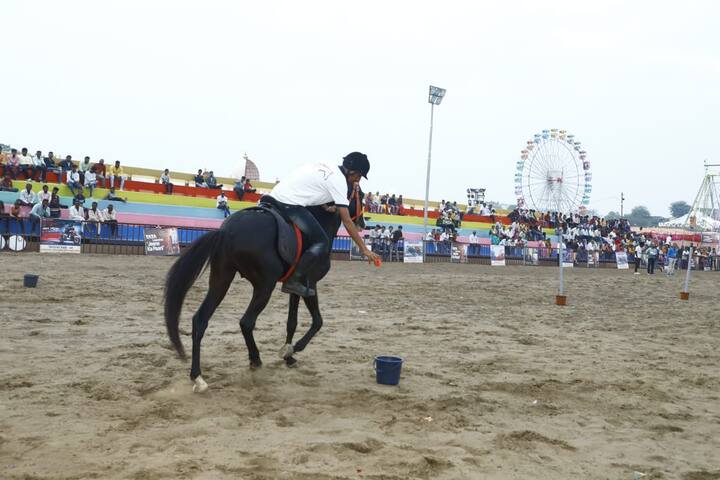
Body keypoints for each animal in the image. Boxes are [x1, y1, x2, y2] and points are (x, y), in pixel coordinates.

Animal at [165, 189, 362, 392]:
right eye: (361, 195)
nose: (362, 222)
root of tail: (226, 231)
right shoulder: (311, 284)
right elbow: (317, 322)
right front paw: (295, 348)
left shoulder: (295, 288)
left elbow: (292, 322)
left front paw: (288, 356)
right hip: (264, 286)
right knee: (246, 322)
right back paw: (255, 359)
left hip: (221, 282)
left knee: (200, 320)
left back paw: (197, 376)